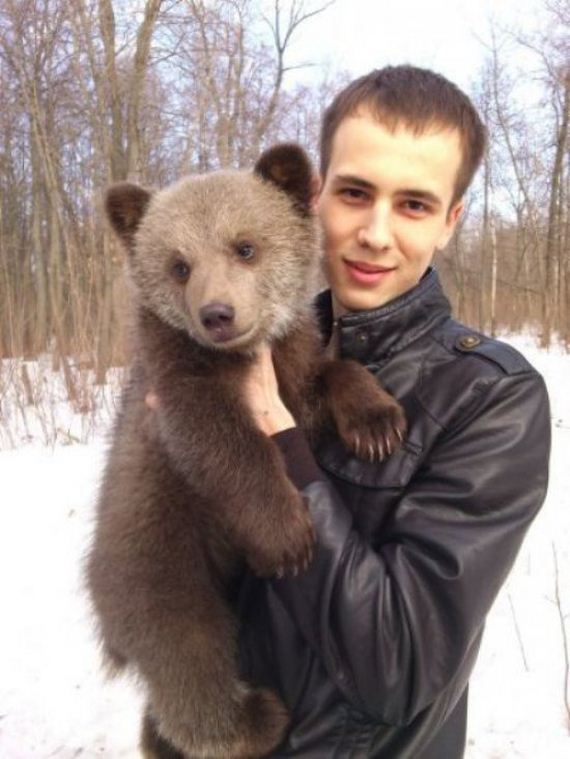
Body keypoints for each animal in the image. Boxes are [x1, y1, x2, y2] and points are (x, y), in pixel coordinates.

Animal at [87, 143, 406, 758]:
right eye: (179, 264)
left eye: (245, 246)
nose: (217, 314)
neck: (247, 356)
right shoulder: (180, 379)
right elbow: (224, 444)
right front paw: (288, 536)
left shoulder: (289, 359)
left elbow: (323, 381)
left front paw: (377, 423)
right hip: (155, 556)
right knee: (187, 650)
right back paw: (254, 719)